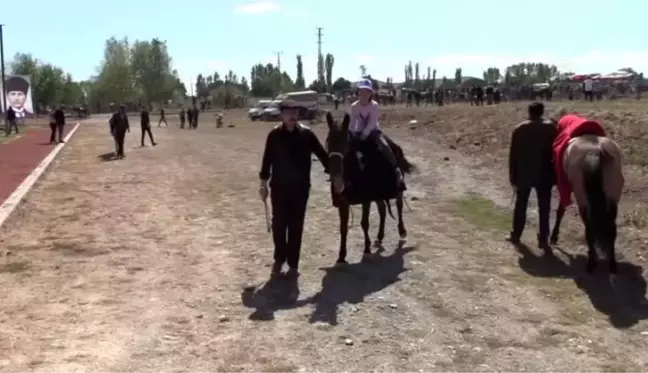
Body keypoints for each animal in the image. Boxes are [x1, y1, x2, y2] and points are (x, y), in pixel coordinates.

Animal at [324, 112, 416, 264]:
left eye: (345, 143)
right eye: (328, 142)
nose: (335, 176)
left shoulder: (366, 199)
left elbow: (364, 223)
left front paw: (366, 249)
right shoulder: (343, 202)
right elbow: (343, 227)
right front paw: (341, 255)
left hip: (396, 188)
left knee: (399, 205)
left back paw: (402, 231)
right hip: (378, 193)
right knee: (382, 210)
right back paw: (379, 236)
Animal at [548, 134, 624, 274]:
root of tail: (596, 151)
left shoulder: (566, 185)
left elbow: (561, 210)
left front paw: (554, 237)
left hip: (582, 197)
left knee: (589, 226)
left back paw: (592, 262)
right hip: (612, 197)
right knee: (610, 228)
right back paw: (611, 264)